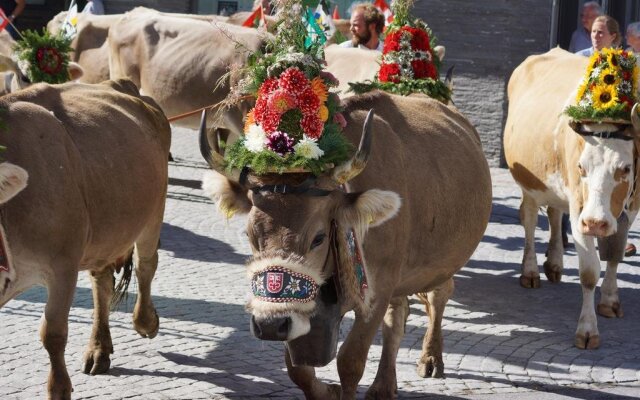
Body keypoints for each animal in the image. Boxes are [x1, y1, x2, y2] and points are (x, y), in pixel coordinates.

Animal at [0, 77, 171, 396]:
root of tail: (120, 83)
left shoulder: (62, 266)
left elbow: (53, 332)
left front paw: (59, 388)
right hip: (103, 232)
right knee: (101, 284)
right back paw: (99, 349)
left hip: (153, 212)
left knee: (146, 266)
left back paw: (147, 321)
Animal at [200, 1, 490, 398]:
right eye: (250, 235)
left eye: (319, 237)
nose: (269, 325)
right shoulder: (304, 312)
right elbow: (298, 368)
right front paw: (327, 390)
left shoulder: (376, 290)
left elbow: (350, 360)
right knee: (399, 316)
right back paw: (384, 384)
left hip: (444, 261)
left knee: (438, 296)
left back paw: (430, 358)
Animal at [504, 46, 640, 346]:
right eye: (581, 167)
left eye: (625, 168)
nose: (596, 223)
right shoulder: (580, 208)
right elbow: (589, 271)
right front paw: (587, 329)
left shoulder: (632, 206)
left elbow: (615, 255)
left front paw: (610, 300)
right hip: (528, 182)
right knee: (529, 220)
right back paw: (530, 270)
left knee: (555, 215)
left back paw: (554, 263)